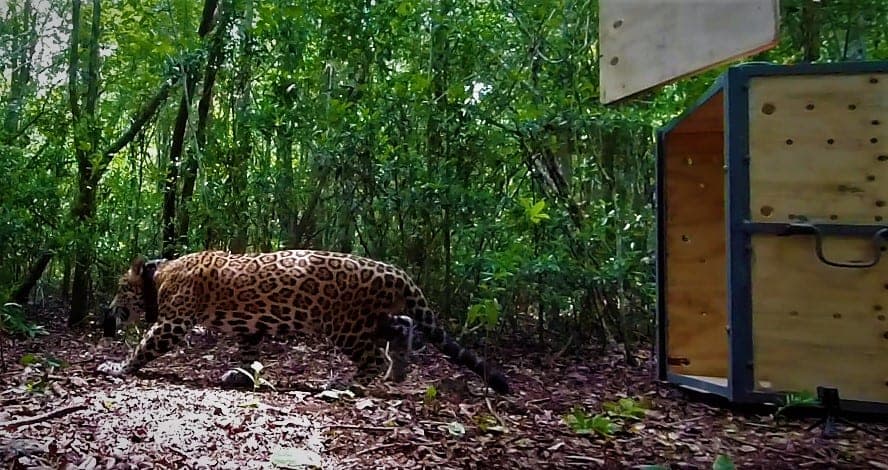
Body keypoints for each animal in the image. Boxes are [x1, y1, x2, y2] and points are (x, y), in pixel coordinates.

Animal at [97, 249, 510, 395]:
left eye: (121, 287)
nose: (110, 306)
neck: (159, 275)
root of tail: (394, 271)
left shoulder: (173, 322)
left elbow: (144, 346)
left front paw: (117, 367)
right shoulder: (250, 327)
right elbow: (248, 354)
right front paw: (239, 376)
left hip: (344, 325)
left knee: (371, 358)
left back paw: (345, 385)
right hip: (367, 319)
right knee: (403, 325)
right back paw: (400, 372)